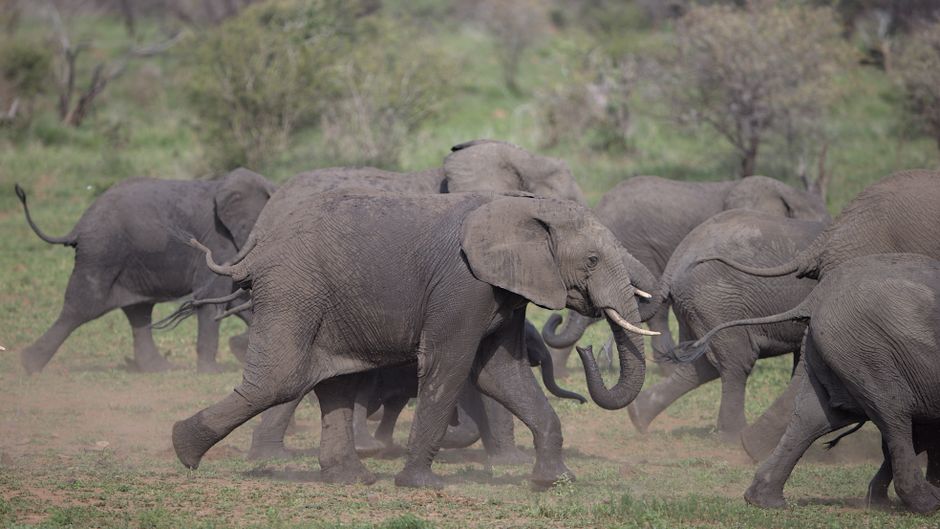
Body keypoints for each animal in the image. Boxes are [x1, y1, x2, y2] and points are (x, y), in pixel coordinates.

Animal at [13, 168, 275, 373]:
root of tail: (78, 227)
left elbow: (236, 298)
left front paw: (240, 350)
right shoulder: (218, 240)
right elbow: (214, 297)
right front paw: (212, 371)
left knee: (138, 312)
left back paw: (159, 369)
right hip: (102, 252)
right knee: (81, 307)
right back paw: (28, 365)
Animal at [172, 190, 655, 489]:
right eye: (592, 260)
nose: (589, 350)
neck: (521, 207)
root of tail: (254, 252)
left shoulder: (504, 291)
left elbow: (502, 374)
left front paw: (554, 481)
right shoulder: (463, 285)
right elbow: (450, 365)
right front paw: (422, 484)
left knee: (333, 381)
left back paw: (351, 479)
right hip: (294, 290)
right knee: (281, 379)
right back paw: (183, 450)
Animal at [628, 209, 825, 440]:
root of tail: (676, 261)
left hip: (696, 306)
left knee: (699, 366)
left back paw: (638, 415)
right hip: (717, 301)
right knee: (738, 361)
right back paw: (733, 436)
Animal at [671, 254, 940, 513]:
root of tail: (817, 296)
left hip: (837, 346)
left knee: (814, 418)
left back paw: (764, 500)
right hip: (868, 350)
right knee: (893, 414)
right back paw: (926, 504)